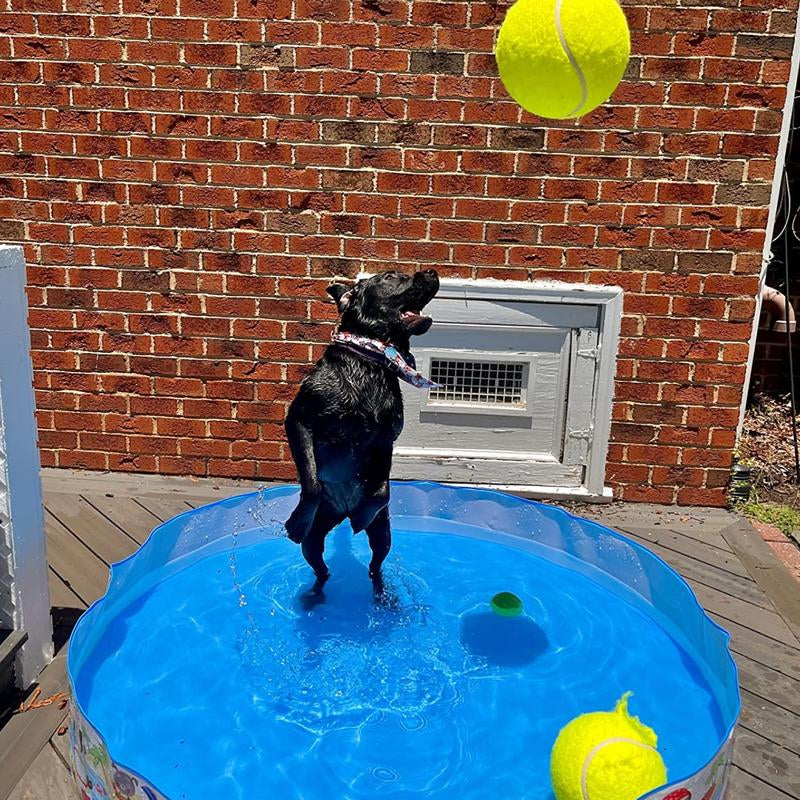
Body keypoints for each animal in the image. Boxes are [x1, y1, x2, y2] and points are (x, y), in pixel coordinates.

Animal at [284, 268, 440, 592]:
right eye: (391, 276)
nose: (432, 272)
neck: (368, 363)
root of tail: (339, 512)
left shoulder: (384, 440)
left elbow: (382, 491)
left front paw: (362, 516)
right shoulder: (298, 420)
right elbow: (312, 482)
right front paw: (296, 523)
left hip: (383, 535)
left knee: (374, 566)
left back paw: (381, 592)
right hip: (314, 538)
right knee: (320, 568)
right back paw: (314, 594)